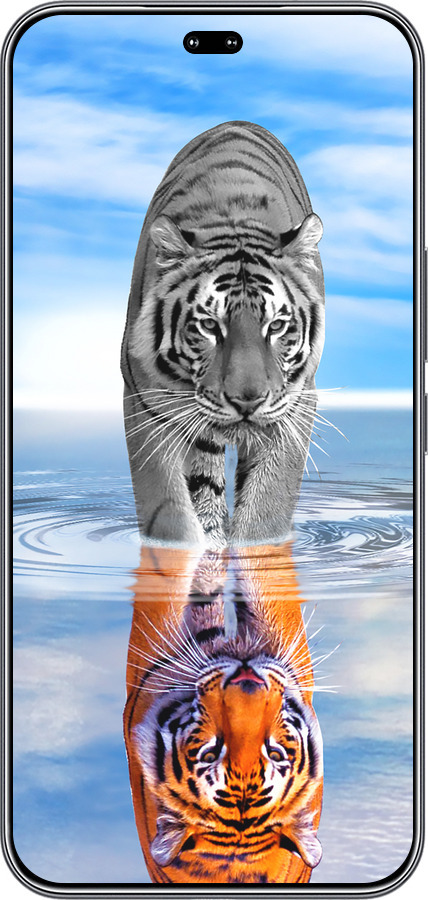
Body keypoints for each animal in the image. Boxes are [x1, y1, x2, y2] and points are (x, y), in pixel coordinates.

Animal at [121, 121, 325, 548]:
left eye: (276, 326)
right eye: (210, 326)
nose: (247, 401)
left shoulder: (296, 404)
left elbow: (267, 509)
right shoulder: (145, 401)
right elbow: (169, 511)